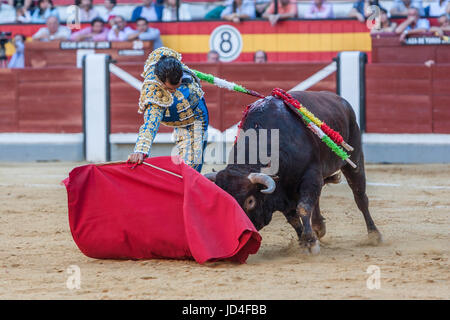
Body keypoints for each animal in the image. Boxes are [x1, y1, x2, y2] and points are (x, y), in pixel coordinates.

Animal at [206, 90, 382, 255]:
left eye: (250, 201)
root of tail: (342, 101)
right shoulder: (282, 192)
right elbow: (293, 218)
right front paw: (304, 241)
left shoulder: (310, 175)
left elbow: (303, 208)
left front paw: (310, 242)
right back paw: (319, 227)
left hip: (354, 158)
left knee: (360, 196)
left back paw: (374, 234)